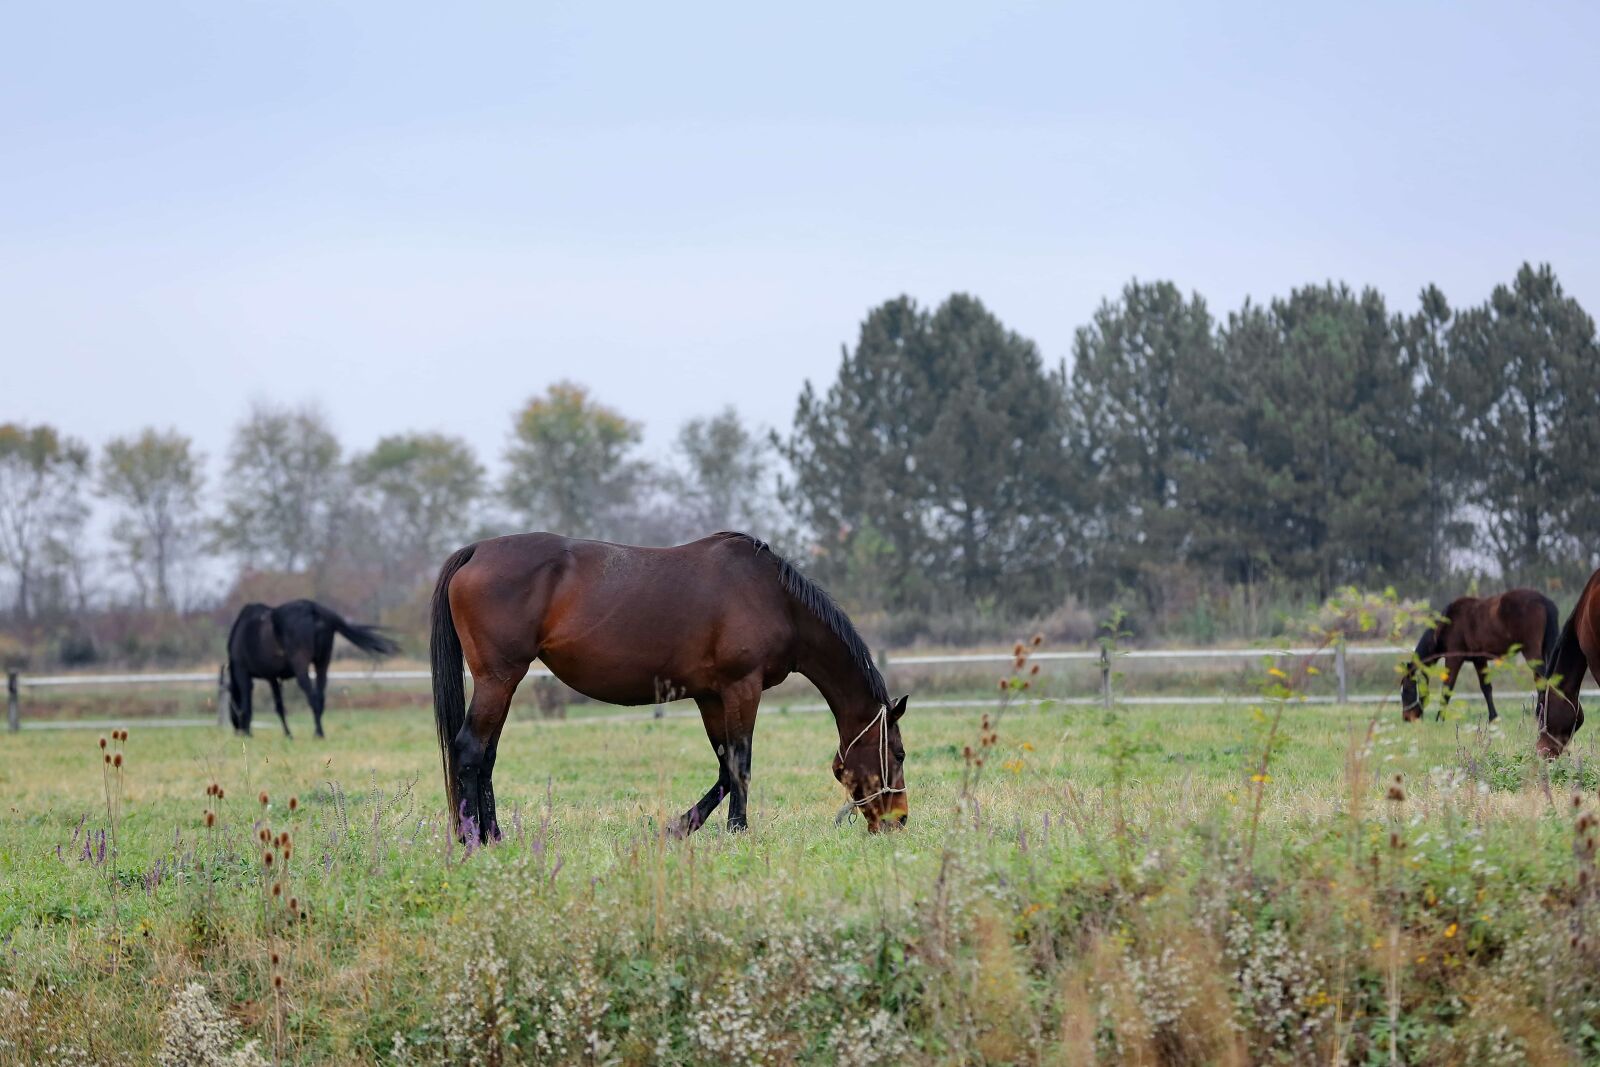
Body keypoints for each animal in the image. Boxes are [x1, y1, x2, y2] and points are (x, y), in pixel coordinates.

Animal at [226, 599, 400, 738]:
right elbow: (279, 706)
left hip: (301, 665)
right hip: (323, 662)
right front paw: (288, 734)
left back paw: (318, 733)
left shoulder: (243, 672)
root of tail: (313, 608)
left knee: (313, 697)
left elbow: (247, 704)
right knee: (320, 696)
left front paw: (248, 733)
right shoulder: (272, 678)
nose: (237, 731)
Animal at [430, 531, 910, 842]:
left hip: (502, 684)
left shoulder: (710, 695)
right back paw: (472, 838)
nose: (899, 820)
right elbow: (741, 764)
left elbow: (724, 767)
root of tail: (476, 551)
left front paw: (681, 826)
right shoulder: (742, 687)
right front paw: (737, 830)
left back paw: (493, 835)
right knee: (470, 750)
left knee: (486, 756)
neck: (774, 598)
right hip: (499, 679)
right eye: (900, 753)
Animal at [1400, 588, 1559, 723]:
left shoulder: (1453, 659)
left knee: (1543, 679)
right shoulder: (1479, 660)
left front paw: (1440, 718)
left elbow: (1447, 687)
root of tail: (1544, 601)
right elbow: (1486, 688)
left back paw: (1539, 714)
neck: (1447, 623)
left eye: (1407, 690)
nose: (1407, 718)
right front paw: (1493, 717)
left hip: (1531, 653)